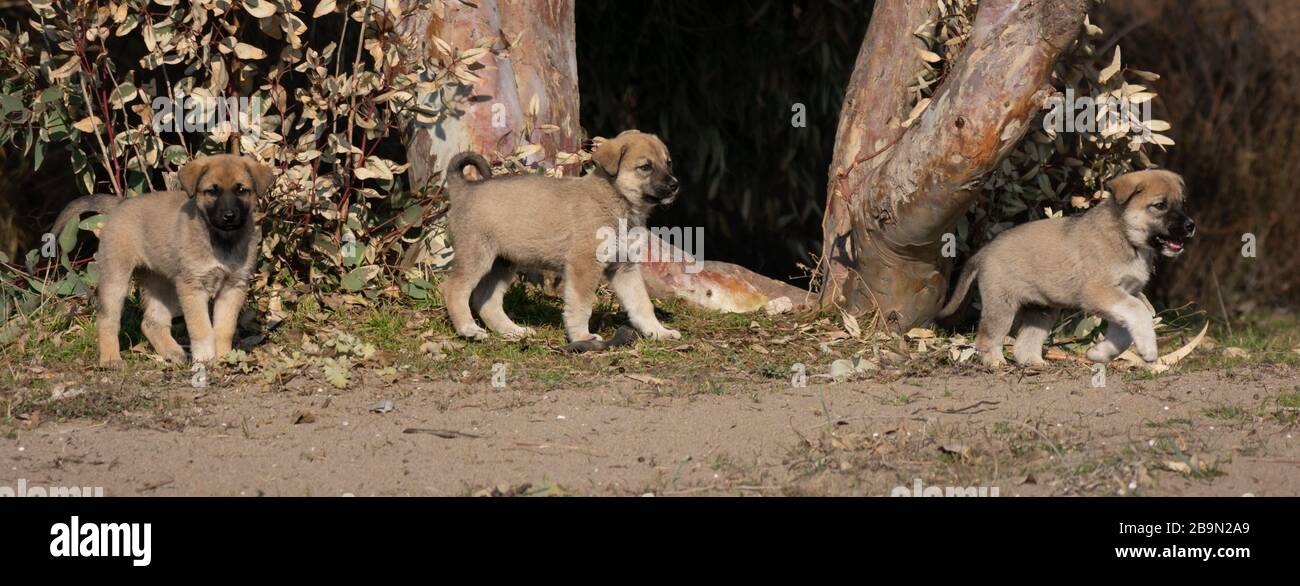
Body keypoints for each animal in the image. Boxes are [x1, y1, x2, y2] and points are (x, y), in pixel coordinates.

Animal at [52, 155, 273, 366]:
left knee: (152, 322)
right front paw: (205, 359)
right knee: (108, 319)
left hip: (163, 284)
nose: (229, 216)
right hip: (116, 278)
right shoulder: (193, 287)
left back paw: (174, 354)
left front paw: (225, 358)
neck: (221, 240)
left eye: (242, 190)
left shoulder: (233, 287)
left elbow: (224, 328)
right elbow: (201, 328)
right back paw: (110, 359)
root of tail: (120, 204)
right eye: (212, 191)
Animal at [444, 129, 686, 348]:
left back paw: (512, 331)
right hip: (477, 257)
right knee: (455, 289)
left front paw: (657, 331)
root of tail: (463, 189)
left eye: (668, 163)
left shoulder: (624, 268)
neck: (615, 201)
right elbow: (581, 306)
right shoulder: (584, 266)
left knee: (487, 301)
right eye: (645, 167)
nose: (675, 185)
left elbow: (642, 304)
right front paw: (582, 337)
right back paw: (468, 329)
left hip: (502, 263)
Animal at [935, 170, 1196, 369]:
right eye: (1160, 206)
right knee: (987, 338)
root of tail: (985, 250)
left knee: (1024, 344)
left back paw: (1035, 363)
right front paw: (1149, 350)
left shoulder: (1121, 297)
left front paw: (1099, 353)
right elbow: (1140, 312)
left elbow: (1123, 334)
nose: (1191, 226)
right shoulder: (1100, 293)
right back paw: (995, 362)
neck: (1125, 236)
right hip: (1002, 306)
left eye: (1183, 203)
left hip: (1041, 311)